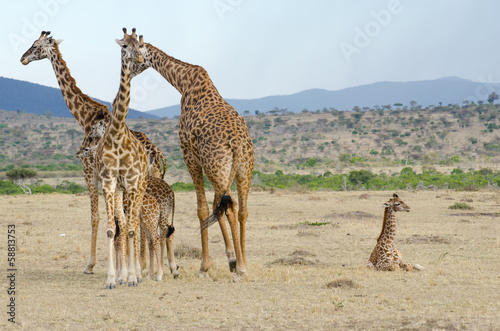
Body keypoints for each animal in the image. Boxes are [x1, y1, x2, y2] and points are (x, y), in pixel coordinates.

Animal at [20, 31, 166, 276]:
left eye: (36, 45)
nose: (22, 58)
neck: (86, 117)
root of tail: (155, 151)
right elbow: (117, 220)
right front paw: (121, 267)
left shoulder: (89, 171)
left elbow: (96, 216)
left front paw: (91, 265)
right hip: (150, 179)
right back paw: (147, 267)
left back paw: (142, 267)